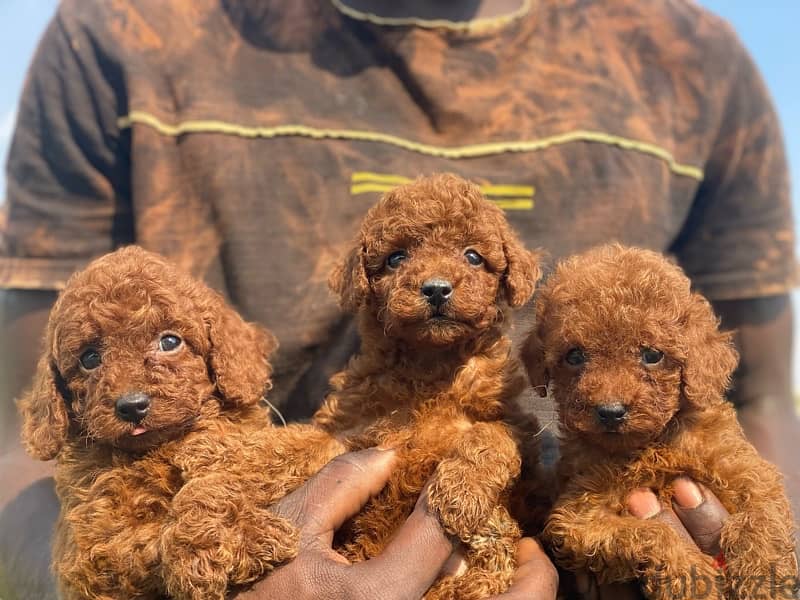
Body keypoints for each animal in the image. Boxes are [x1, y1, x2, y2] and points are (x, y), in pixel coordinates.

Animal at [18, 245, 342, 600]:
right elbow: (136, 540)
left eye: (170, 342)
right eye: (89, 359)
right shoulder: (90, 548)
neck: (158, 447)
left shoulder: (289, 443)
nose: (132, 406)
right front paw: (225, 546)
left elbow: (242, 466)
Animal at [312, 171, 544, 596]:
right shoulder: (349, 422)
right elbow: (305, 448)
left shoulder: (516, 427)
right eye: (396, 258)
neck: (430, 368)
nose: (436, 288)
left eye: (473, 256)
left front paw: (460, 496)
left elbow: (489, 436)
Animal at [520, 244, 796, 600]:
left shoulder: (749, 472)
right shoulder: (577, 516)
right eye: (575, 356)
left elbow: (762, 518)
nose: (610, 411)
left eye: (652, 355)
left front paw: (765, 580)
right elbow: (654, 533)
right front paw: (693, 580)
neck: (651, 444)